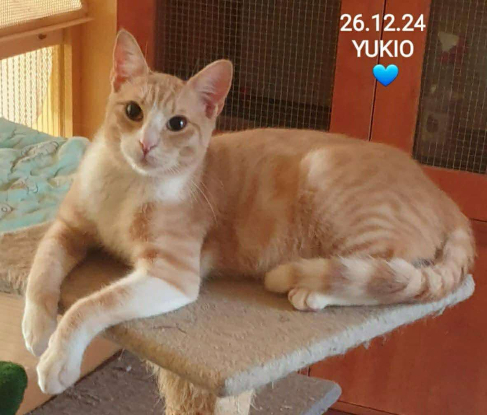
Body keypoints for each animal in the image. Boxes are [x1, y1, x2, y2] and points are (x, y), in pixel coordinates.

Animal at [22, 30, 475, 395]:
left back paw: (312, 289)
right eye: (133, 112)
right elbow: (41, 269)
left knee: (385, 279)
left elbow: (91, 305)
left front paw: (58, 360)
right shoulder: (67, 228)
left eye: (177, 124)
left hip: (332, 185)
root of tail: (445, 197)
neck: (127, 184)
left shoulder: (171, 275)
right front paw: (37, 327)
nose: (147, 145)